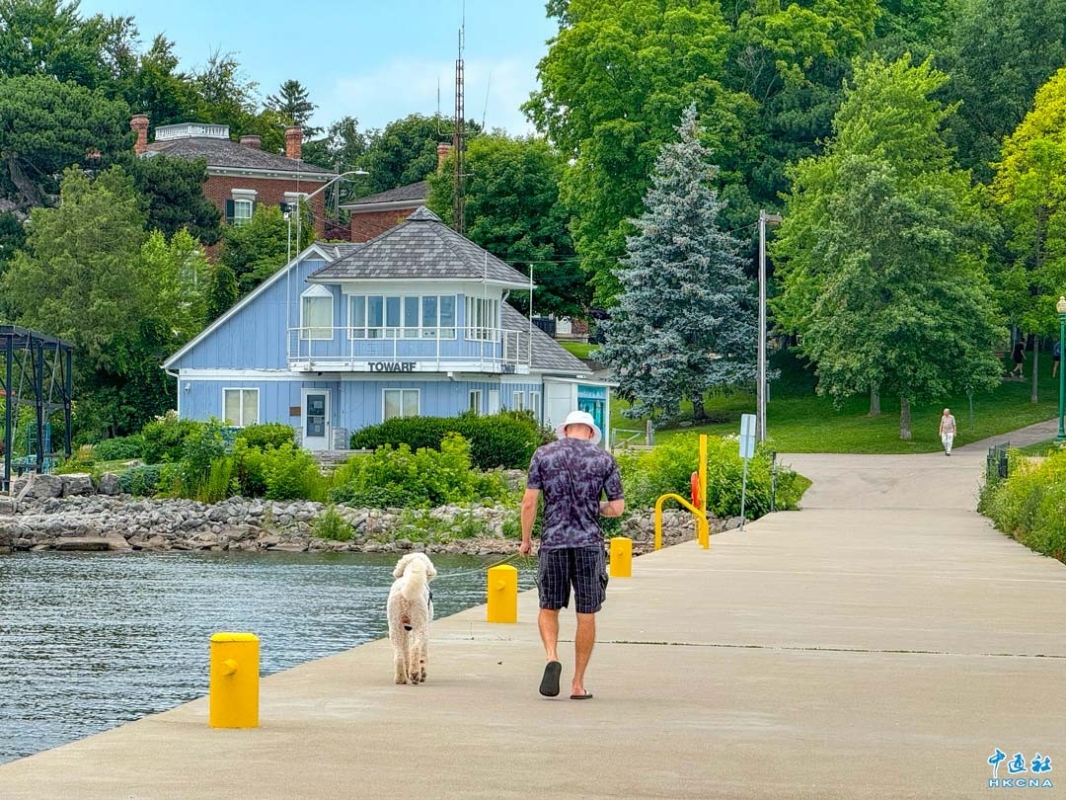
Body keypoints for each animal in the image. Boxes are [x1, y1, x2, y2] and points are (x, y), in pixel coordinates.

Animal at [387, 552, 437, 685]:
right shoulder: (425, 627)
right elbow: (423, 652)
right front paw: (422, 672)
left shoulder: (404, 630)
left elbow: (405, 651)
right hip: (420, 625)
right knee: (415, 648)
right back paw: (415, 673)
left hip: (395, 627)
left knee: (399, 655)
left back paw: (400, 678)